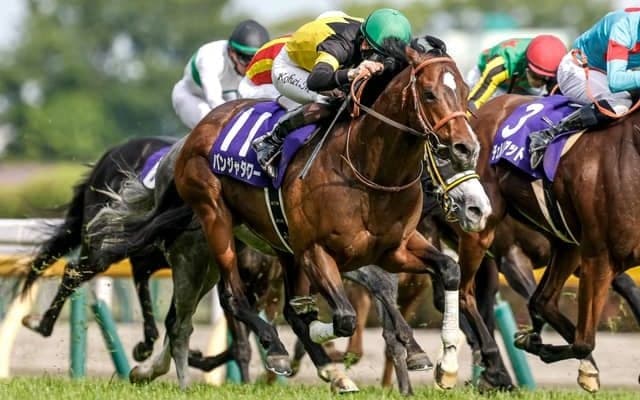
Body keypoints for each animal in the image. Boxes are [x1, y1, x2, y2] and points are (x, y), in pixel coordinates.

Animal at [455, 93, 640, 392]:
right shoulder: (599, 257)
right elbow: (583, 341)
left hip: (566, 243)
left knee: (542, 301)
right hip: (481, 224)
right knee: (464, 293)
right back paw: (493, 360)